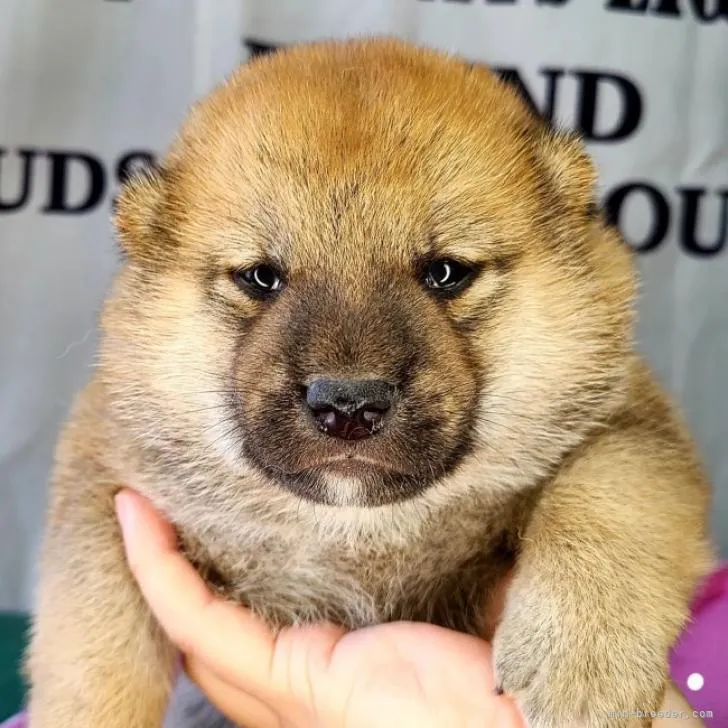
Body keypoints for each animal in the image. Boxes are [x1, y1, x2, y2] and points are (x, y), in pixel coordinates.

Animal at [27, 38, 712, 728]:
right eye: (260, 277)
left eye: (445, 273)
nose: (348, 404)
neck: (355, 536)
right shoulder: (100, 479)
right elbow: (94, 639)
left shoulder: (631, 421)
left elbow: (610, 494)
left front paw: (582, 663)